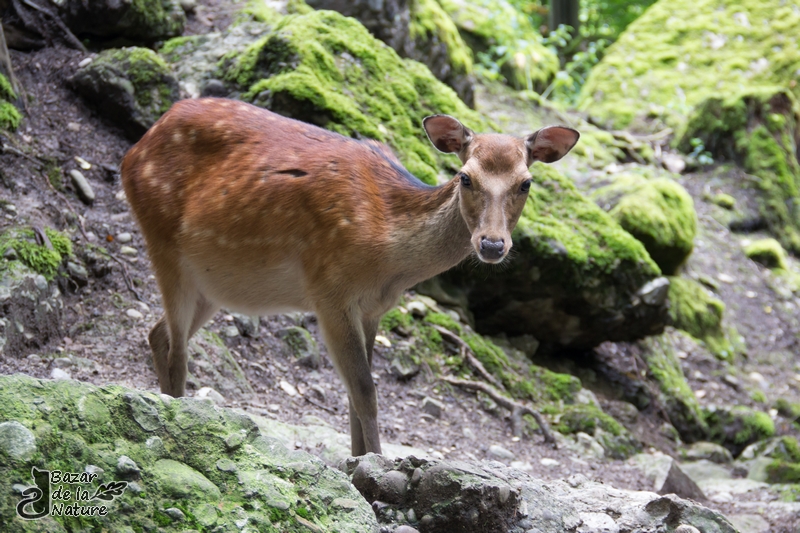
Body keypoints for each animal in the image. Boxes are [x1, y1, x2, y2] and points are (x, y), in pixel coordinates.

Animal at [119, 97, 580, 456]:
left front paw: (359, 459)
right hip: (162, 240)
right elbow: (365, 390)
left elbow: (356, 391)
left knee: (158, 334)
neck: (389, 259)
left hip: (211, 284)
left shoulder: (373, 308)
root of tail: (135, 148)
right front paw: (374, 466)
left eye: (526, 183)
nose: (492, 244)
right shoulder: (329, 291)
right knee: (178, 350)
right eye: (465, 176)